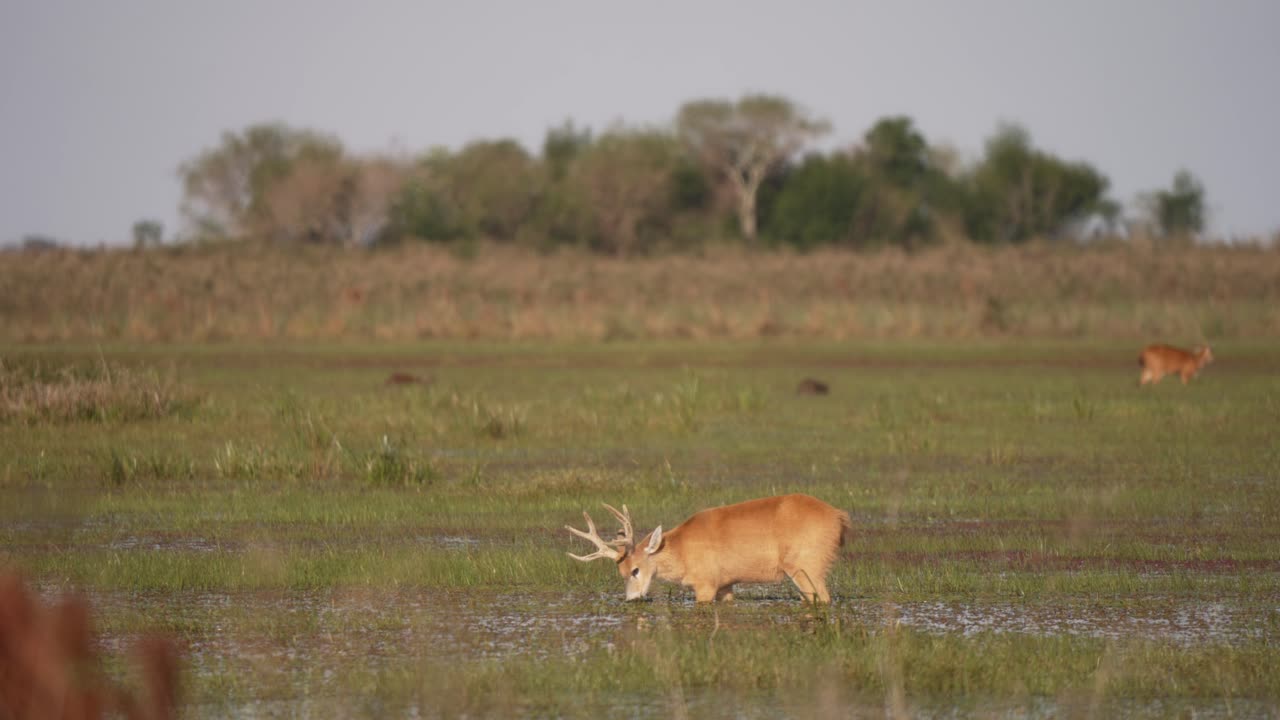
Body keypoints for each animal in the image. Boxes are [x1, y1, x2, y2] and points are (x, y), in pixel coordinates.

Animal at [566, 494, 852, 604]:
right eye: (621, 573)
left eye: (636, 570)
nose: (632, 599)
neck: (682, 551)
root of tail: (839, 517)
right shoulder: (726, 584)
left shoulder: (706, 582)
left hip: (807, 565)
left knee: (822, 597)